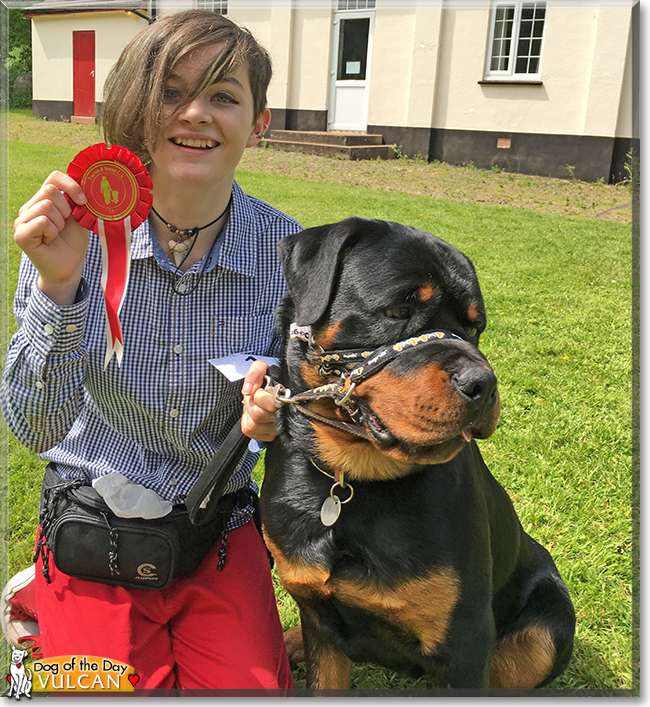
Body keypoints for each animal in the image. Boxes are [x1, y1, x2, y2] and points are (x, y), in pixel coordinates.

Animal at [258, 217, 572, 692]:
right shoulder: (320, 620)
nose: (484, 385)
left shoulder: (466, 643)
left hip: (549, 629)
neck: (352, 479)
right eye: (397, 311)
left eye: (474, 328)